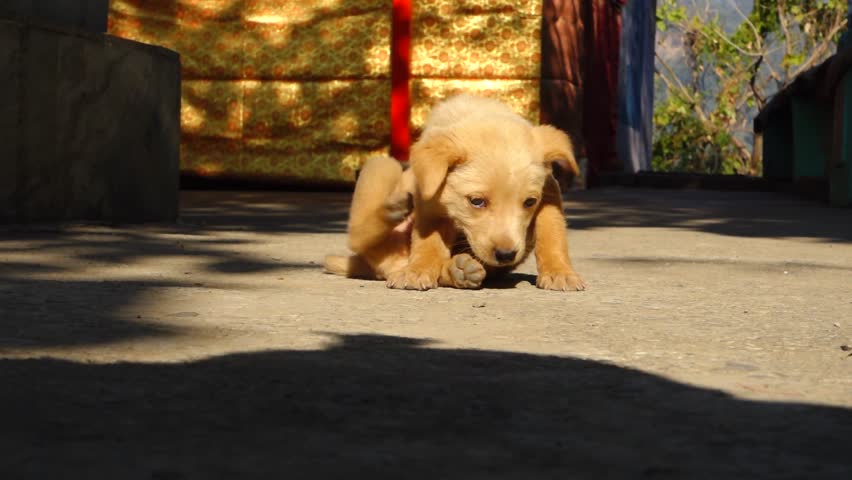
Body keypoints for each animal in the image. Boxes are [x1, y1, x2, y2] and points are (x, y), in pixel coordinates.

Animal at [326, 92, 584, 290]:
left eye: (530, 202)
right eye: (477, 201)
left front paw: (560, 272)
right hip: (380, 166)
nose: (506, 255)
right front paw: (417, 271)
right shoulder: (429, 203)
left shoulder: (549, 192)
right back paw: (395, 208)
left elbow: (552, 233)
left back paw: (460, 270)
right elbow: (428, 241)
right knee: (358, 233)